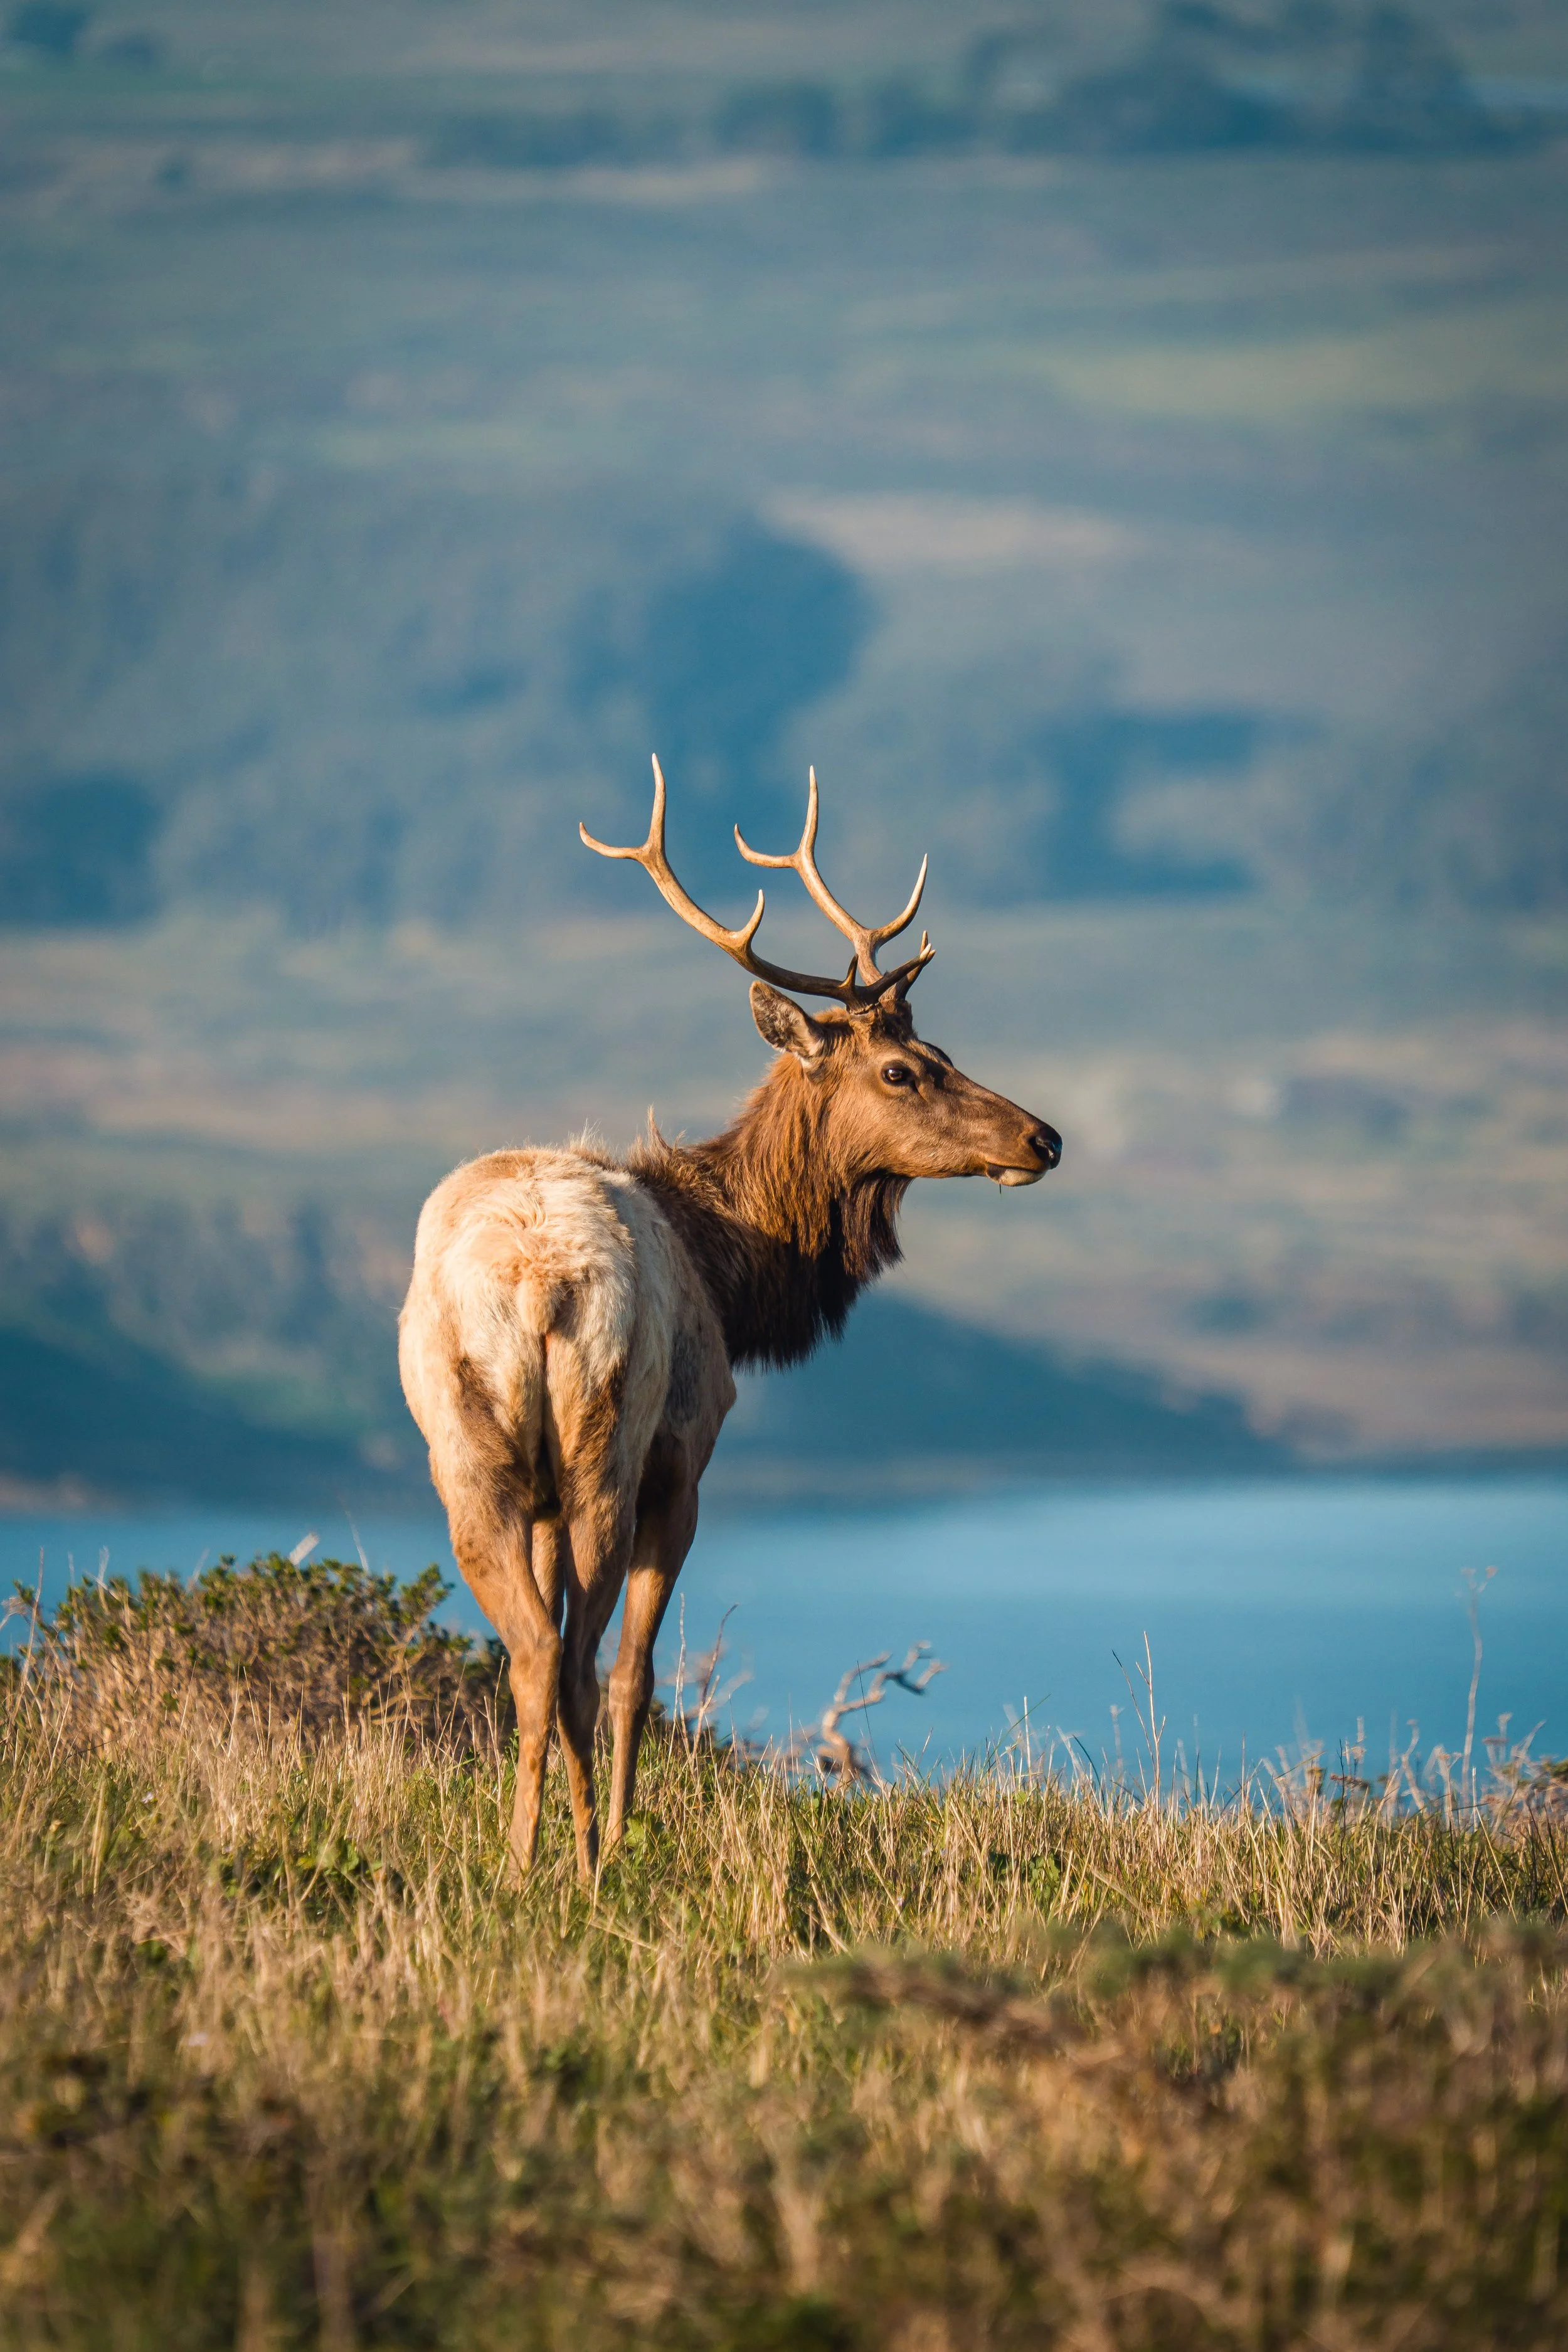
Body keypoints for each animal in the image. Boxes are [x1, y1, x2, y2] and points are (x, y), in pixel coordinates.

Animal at [398, 759, 1061, 1883]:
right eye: (901, 1070)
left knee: (530, 1651)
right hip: (609, 1444)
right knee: (581, 1659)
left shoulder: (537, 1496)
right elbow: (641, 1673)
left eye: (941, 1045)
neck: (735, 1269)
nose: (1044, 1137)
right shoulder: (687, 1458)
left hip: (471, 1451)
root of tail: (536, 1285)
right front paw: (626, 1828)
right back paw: (590, 1856)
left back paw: (523, 1853)